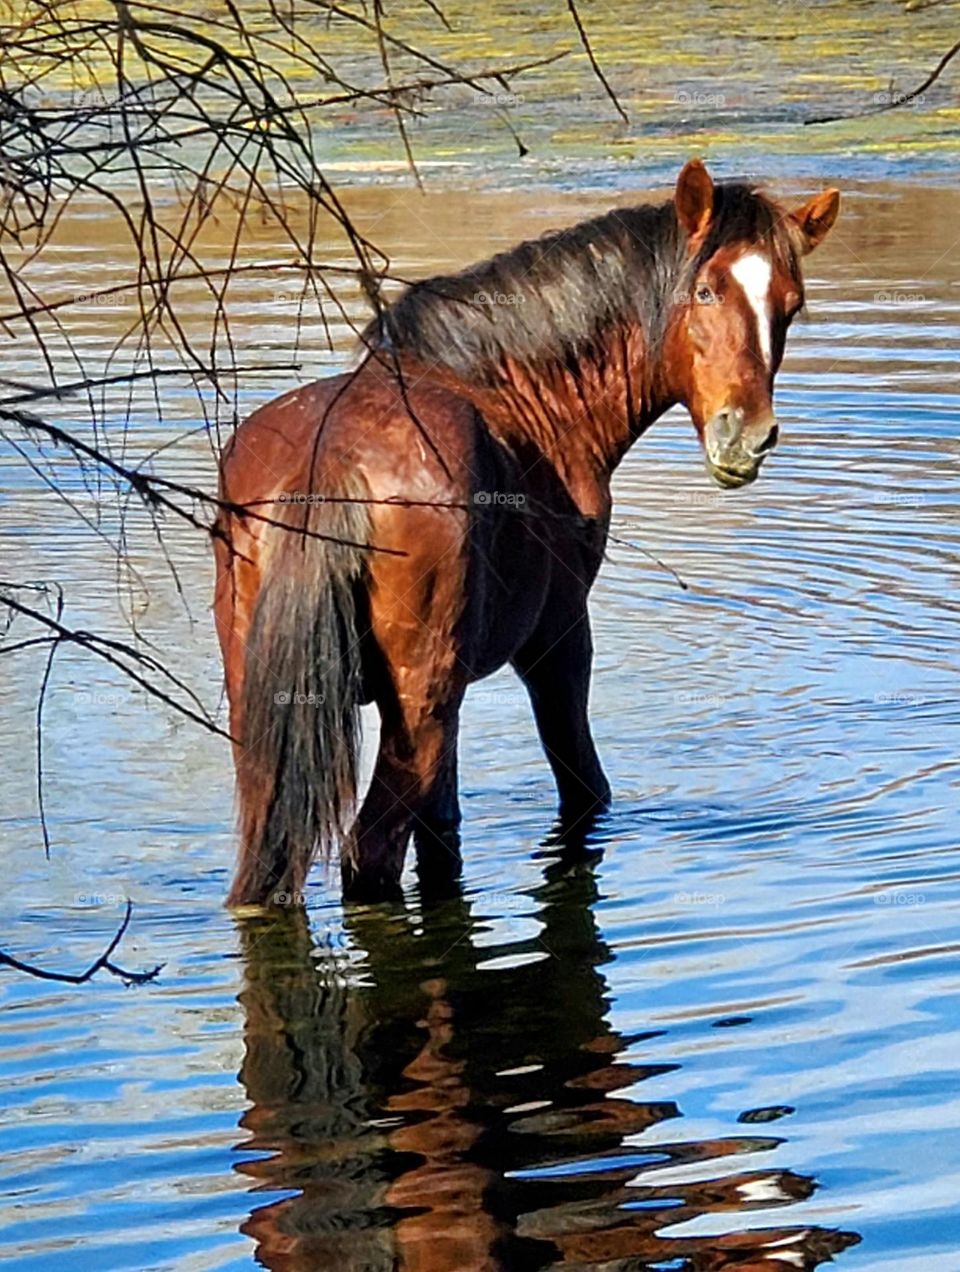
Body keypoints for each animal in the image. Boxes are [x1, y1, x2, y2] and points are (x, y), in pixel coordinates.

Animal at [213, 158, 840, 906]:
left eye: (790, 305)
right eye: (706, 290)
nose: (745, 435)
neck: (519, 392)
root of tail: (330, 461)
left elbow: (443, 825)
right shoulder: (558, 638)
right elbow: (584, 787)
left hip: (274, 707)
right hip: (418, 700)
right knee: (370, 850)